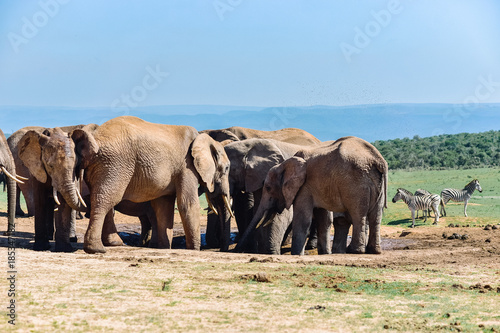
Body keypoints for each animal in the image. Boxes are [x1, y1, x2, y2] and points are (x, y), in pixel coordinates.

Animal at [23, 115, 232, 253]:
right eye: (228, 168)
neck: (206, 138)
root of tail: (95, 136)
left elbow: (163, 206)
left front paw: (163, 248)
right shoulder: (186, 166)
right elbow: (187, 203)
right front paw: (194, 250)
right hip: (116, 163)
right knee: (106, 198)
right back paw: (98, 249)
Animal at [237, 136, 386, 255]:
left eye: (268, 188)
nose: (237, 251)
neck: (284, 164)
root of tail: (378, 160)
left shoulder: (304, 187)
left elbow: (303, 219)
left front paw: (296, 254)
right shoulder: (319, 187)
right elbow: (325, 219)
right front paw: (325, 253)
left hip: (355, 184)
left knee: (358, 214)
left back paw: (354, 251)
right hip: (375, 182)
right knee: (375, 215)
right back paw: (374, 251)